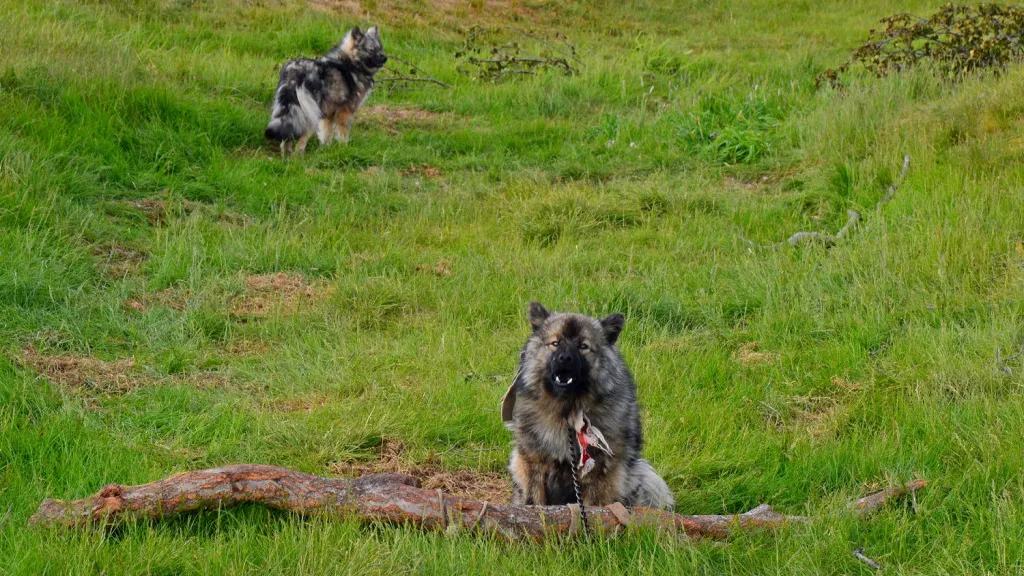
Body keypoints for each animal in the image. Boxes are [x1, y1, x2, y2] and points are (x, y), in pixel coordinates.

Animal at [266, 26, 385, 154]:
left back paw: (287, 154)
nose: (385, 58)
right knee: (301, 139)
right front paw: (344, 148)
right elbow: (343, 134)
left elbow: (326, 134)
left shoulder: (328, 115)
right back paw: (298, 155)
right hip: (310, 114)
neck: (352, 63)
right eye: (371, 50)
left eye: (380, 48)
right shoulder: (345, 112)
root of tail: (295, 74)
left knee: (287, 137)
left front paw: (326, 149)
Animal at [501, 301, 675, 506]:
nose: (564, 358)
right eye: (555, 343)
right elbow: (534, 500)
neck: (567, 411)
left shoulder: (599, 469)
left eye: (583, 346)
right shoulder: (533, 461)